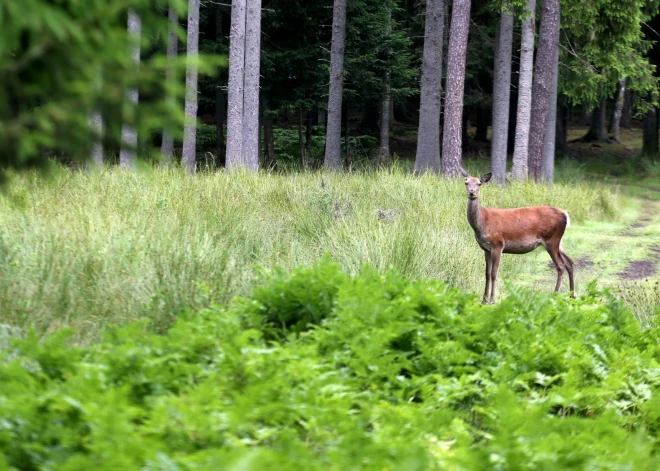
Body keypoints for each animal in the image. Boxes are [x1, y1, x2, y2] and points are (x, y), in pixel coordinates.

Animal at [462, 168, 576, 304]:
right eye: (466, 182)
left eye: (479, 183)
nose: (472, 193)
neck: (482, 223)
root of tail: (565, 214)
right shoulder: (486, 249)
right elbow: (487, 274)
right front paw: (484, 300)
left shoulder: (498, 244)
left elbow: (494, 273)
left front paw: (492, 300)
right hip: (559, 242)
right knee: (570, 262)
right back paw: (572, 295)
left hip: (552, 240)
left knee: (561, 266)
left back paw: (555, 294)